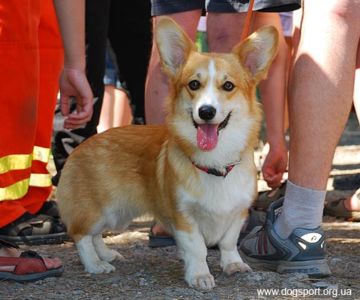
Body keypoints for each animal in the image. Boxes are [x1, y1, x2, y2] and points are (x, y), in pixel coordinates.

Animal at [57, 17, 280, 290]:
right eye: (194, 84)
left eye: (228, 86)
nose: (206, 111)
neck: (215, 163)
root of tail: (81, 147)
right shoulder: (184, 217)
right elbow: (197, 249)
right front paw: (199, 275)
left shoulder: (238, 212)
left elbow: (228, 242)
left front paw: (233, 265)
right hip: (99, 210)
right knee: (81, 235)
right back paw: (95, 264)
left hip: (118, 214)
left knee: (96, 235)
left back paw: (107, 255)